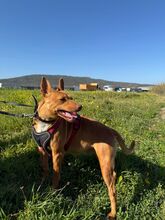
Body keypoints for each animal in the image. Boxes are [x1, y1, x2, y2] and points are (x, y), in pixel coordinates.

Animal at [32, 77, 135, 218]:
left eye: (71, 97)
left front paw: (53, 192)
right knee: (114, 177)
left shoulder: (57, 154)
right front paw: (42, 184)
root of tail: (110, 130)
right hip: (109, 163)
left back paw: (113, 213)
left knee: (112, 190)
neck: (46, 123)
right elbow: (45, 169)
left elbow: (55, 175)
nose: (80, 106)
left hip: (105, 164)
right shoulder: (42, 151)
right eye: (62, 99)